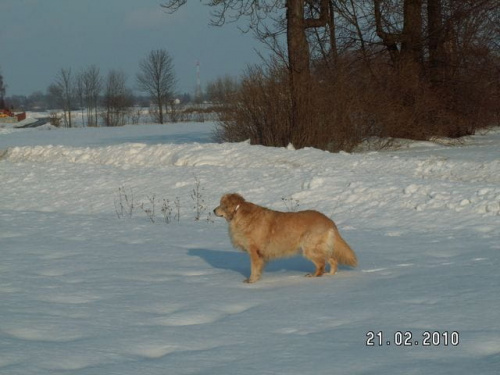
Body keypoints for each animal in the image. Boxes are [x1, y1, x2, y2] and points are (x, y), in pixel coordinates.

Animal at [213, 194, 358, 284]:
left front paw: (251, 281)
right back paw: (330, 275)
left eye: (221, 204)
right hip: (320, 248)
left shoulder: (255, 251)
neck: (238, 213)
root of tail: (328, 220)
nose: (213, 210)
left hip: (310, 249)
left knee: (321, 264)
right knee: (333, 260)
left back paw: (313, 276)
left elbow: (254, 268)